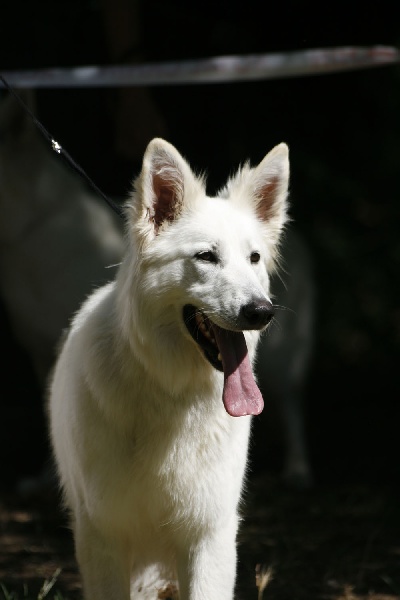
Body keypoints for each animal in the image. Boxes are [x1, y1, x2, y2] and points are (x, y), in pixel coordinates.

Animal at [48, 137, 289, 599]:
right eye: (206, 257)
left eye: (253, 258)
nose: (261, 312)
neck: (166, 386)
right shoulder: (103, 536)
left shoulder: (208, 536)